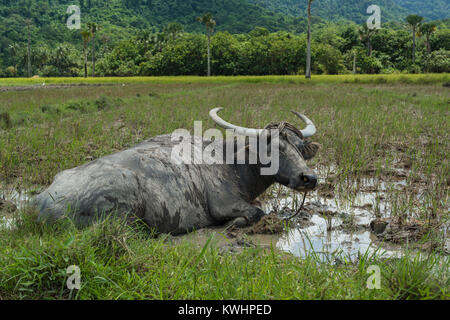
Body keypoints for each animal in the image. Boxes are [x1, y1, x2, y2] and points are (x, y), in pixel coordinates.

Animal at [36, 109, 320, 234]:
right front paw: (234, 224)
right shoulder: (225, 205)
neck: (232, 162)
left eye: (299, 148)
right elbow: (255, 212)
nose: (309, 178)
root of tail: (39, 206)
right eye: (273, 149)